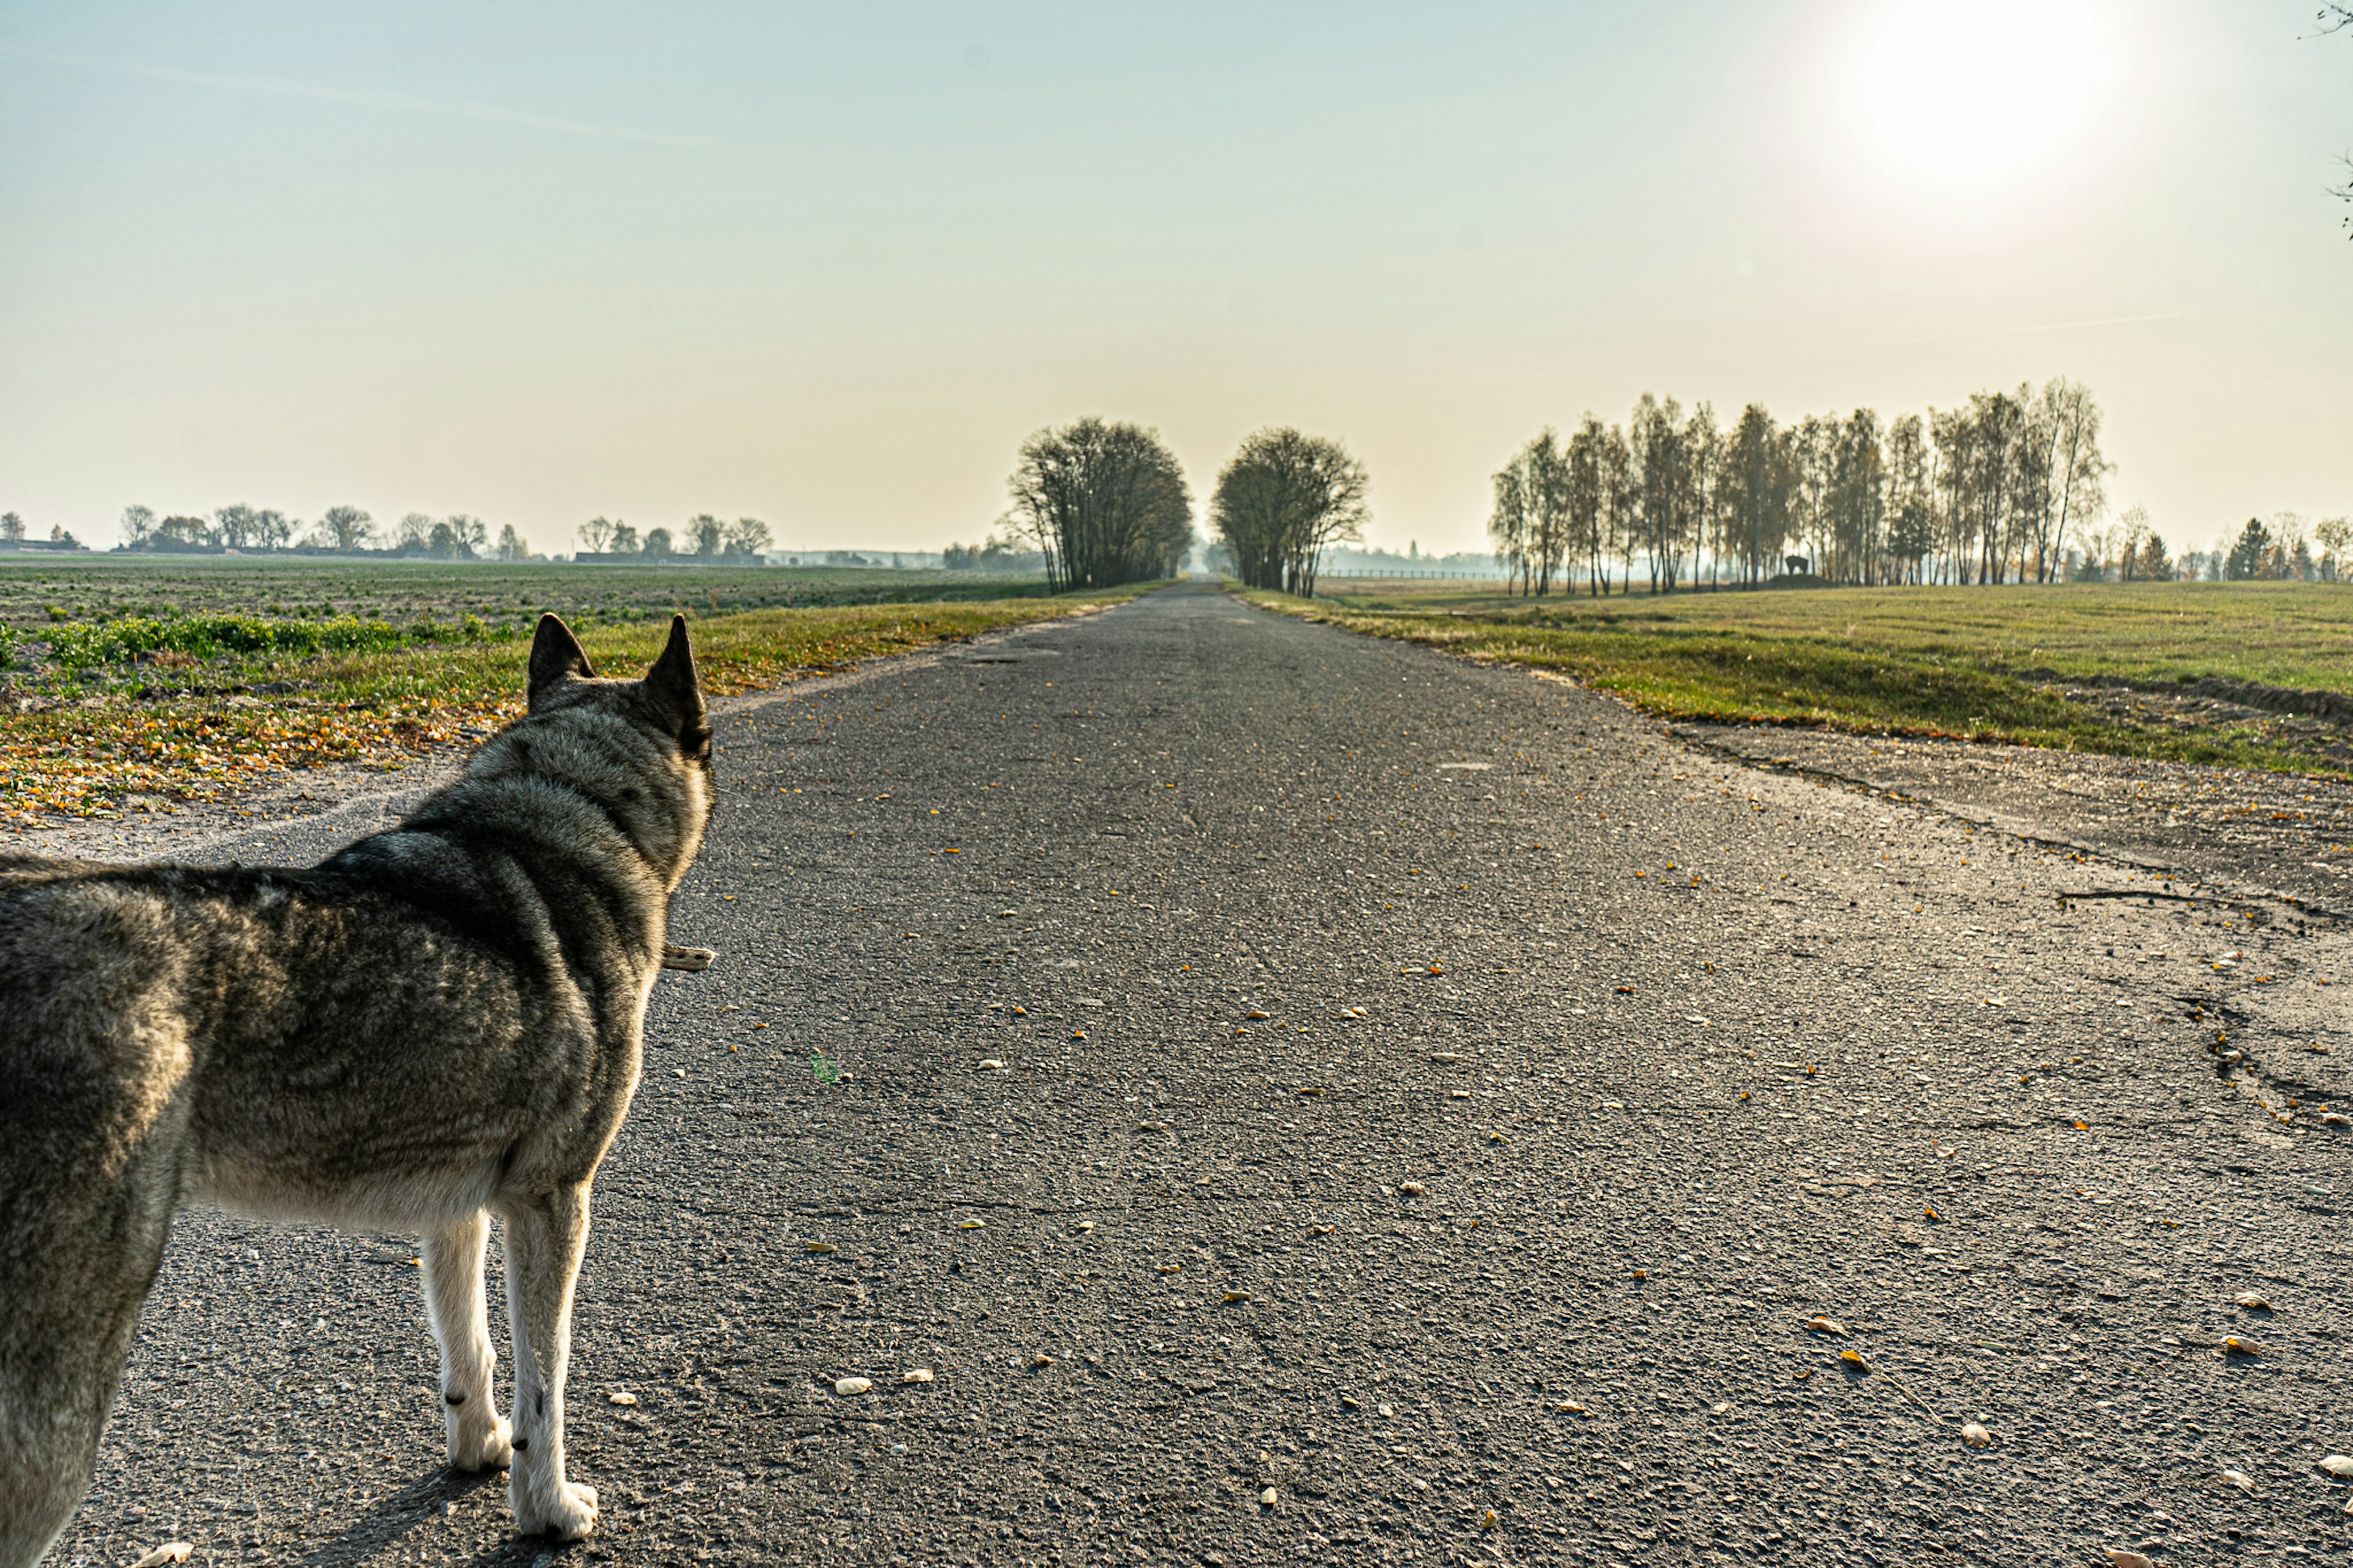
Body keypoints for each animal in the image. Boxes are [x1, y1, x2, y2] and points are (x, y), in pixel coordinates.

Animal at [2, 612, 715, 1563]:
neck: (568, 812)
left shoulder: (457, 1205)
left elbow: (471, 1354)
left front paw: (479, 1452)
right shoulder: (553, 1200)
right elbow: (547, 1386)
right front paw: (549, 1512)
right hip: (60, 1417)